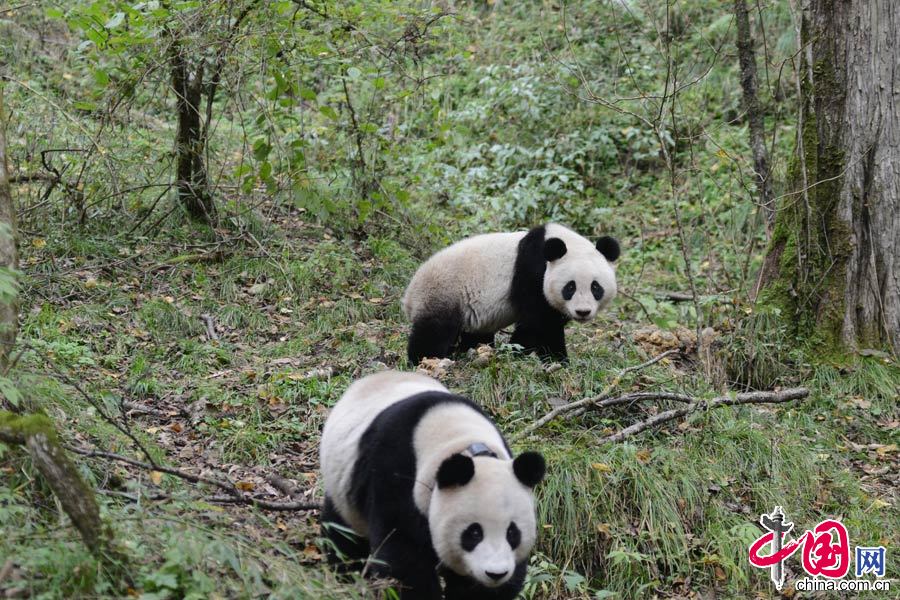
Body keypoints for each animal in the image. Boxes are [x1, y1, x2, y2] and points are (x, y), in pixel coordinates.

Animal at [324, 370, 548, 600]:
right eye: (474, 533)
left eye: (512, 533)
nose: (495, 573)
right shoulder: (394, 472)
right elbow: (403, 553)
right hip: (342, 483)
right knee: (343, 532)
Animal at [404, 223, 624, 364]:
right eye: (570, 287)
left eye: (595, 287)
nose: (583, 312)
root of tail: (408, 296)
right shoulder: (532, 272)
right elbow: (538, 323)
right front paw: (525, 354)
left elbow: (550, 323)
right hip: (442, 292)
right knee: (433, 332)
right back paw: (426, 359)